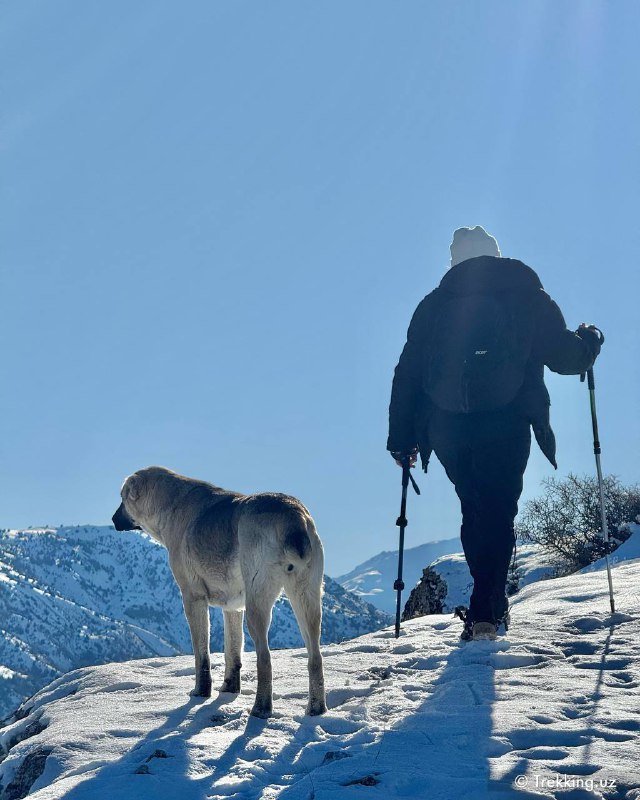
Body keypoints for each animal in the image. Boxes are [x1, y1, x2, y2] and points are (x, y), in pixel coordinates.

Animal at [110, 466, 328, 716]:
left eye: (123, 498)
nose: (113, 519)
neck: (171, 506)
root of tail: (294, 516)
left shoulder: (192, 597)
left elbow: (201, 654)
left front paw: (200, 692)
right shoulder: (233, 607)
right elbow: (232, 651)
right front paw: (229, 688)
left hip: (258, 601)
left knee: (265, 658)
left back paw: (261, 709)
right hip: (307, 597)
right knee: (315, 658)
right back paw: (316, 709)